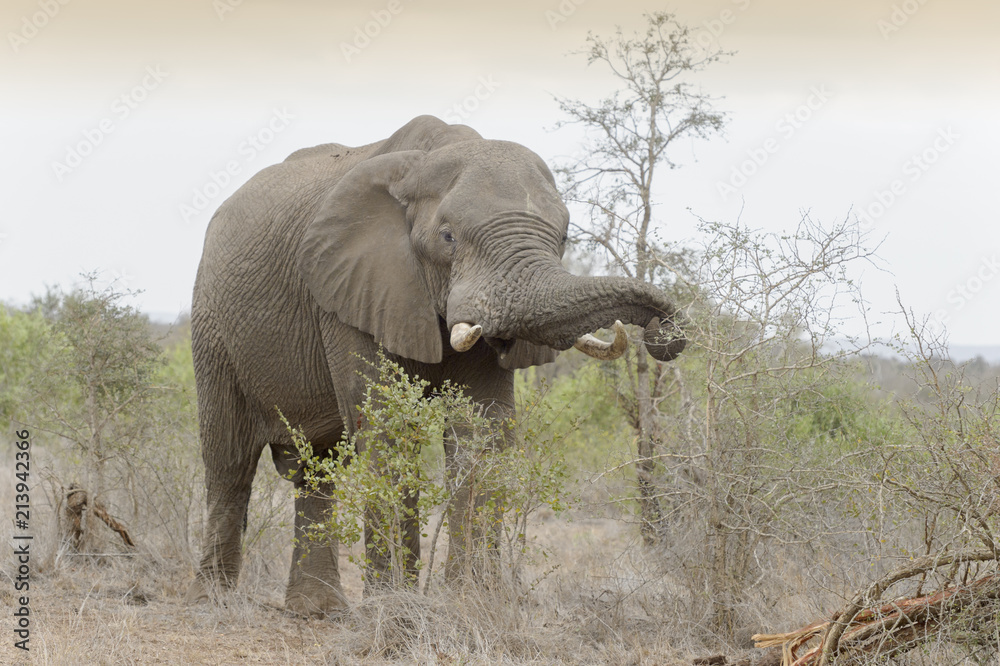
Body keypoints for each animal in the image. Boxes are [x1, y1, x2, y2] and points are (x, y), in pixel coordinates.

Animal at [185, 115, 685, 615]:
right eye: (448, 237)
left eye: (563, 238)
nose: (662, 334)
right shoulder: (348, 291)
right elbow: (385, 426)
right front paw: (395, 608)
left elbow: (481, 432)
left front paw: (471, 601)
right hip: (211, 322)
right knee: (229, 459)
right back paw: (214, 600)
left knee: (315, 470)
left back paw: (317, 610)